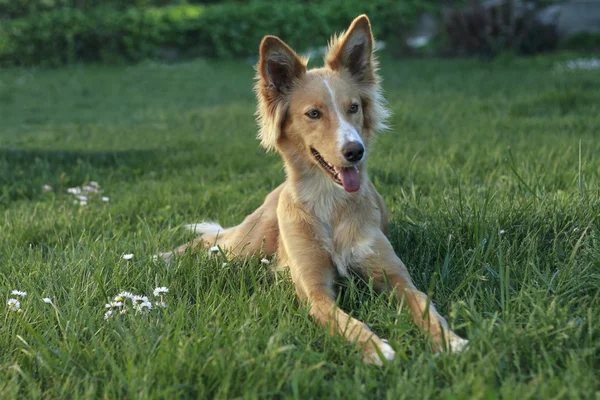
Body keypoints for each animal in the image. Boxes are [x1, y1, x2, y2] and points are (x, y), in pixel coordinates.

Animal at [161, 14, 468, 366]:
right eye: (313, 113)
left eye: (353, 108)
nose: (355, 151)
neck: (330, 203)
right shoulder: (315, 292)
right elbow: (346, 321)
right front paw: (376, 348)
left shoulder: (395, 277)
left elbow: (425, 306)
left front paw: (450, 340)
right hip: (247, 244)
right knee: (207, 242)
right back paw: (159, 257)